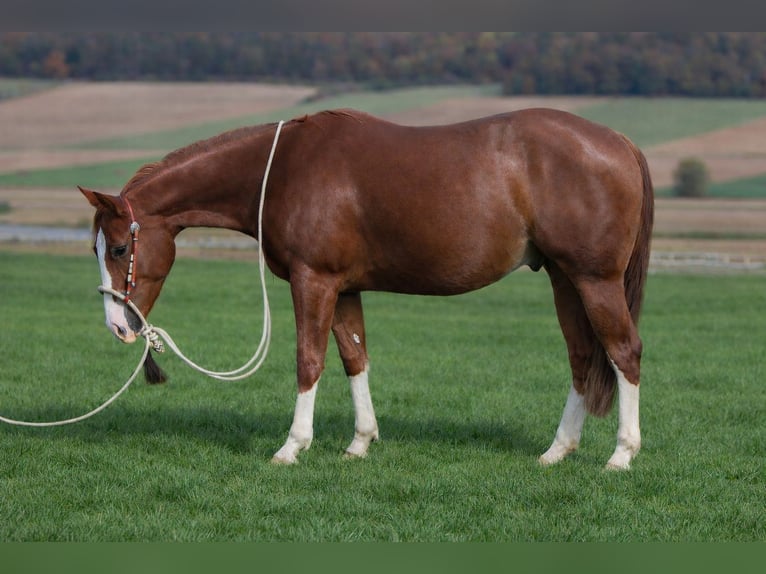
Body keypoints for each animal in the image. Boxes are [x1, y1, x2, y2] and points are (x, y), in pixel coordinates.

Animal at [80, 107, 653, 469]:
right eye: (98, 248)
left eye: (118, 249)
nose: (117, 326)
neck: (283, 169)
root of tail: (620, 142)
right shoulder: (344, 288)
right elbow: (354, 357)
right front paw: (360, 443)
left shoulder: (313, 280)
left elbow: (309, 359)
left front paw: (292, 447)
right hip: (563, 278)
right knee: (583, 357)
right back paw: (558, 451)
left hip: (594, 280)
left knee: (624, 352)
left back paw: (621, 455)